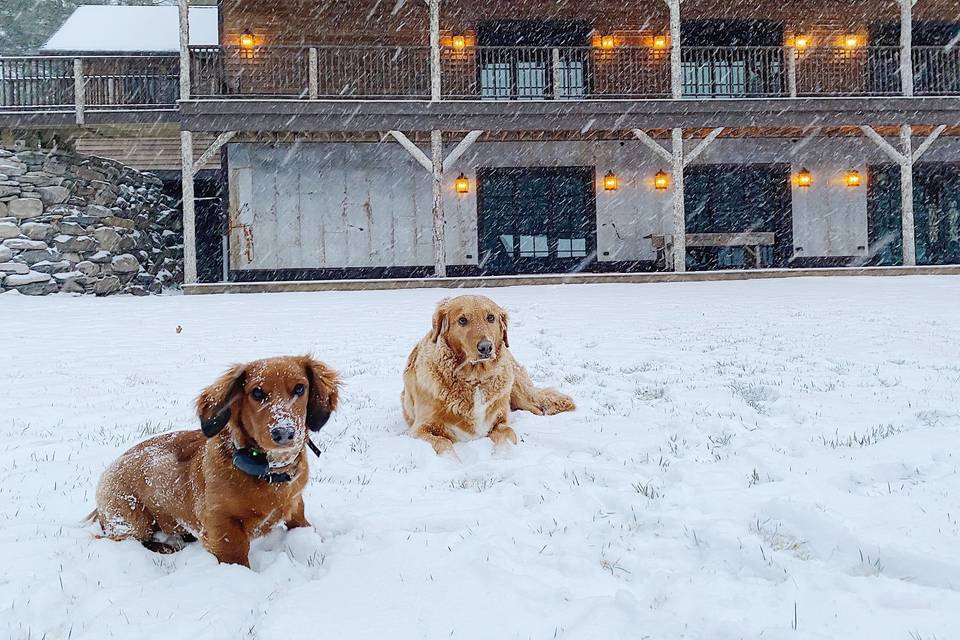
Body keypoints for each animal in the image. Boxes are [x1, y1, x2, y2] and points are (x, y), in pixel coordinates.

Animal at [87, 358, 342, 568]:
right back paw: (166, 546)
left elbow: (301, 523)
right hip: (132, 518)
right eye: (257, 393)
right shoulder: (221, 525)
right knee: (123, 539)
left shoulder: (296, 503)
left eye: (300, 388)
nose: (285, 433)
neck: (267, 471)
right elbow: (236, 556)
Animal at [402, 296, 572, 456]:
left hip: (517, 391)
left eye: (491, 317)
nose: (486, 347)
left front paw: (503, 456)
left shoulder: (500, 422)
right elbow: (443, 443)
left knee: (534, 404)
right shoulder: (419, 430)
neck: (475, 379)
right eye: (462, 320)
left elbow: (508, 434)